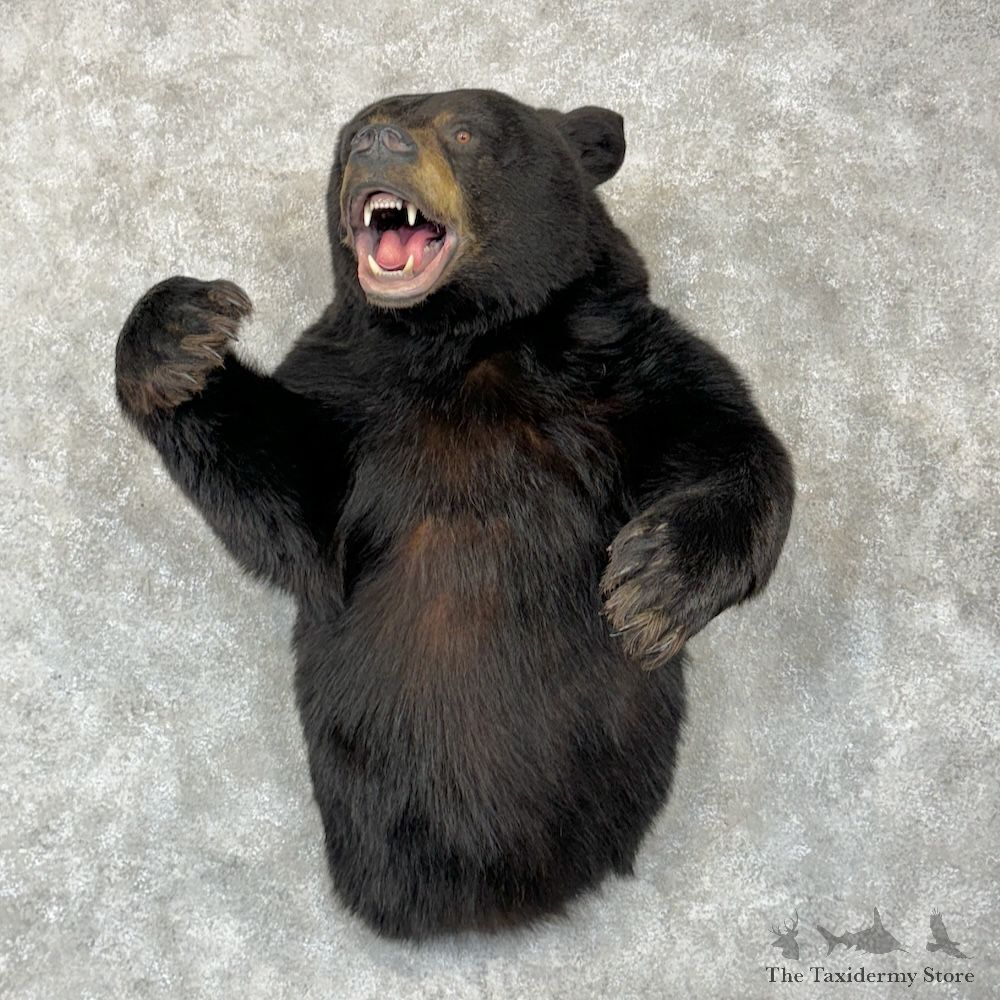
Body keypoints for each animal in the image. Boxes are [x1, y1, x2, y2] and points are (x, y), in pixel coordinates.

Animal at [115, 89, 794, 939]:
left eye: (464, 131)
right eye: (347, 135)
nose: (376, 140)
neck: (467, 344)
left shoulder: (619, 362)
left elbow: (728, 434)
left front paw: (654, 587)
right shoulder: (348, 398)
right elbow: (289, 512)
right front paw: (181, 330)